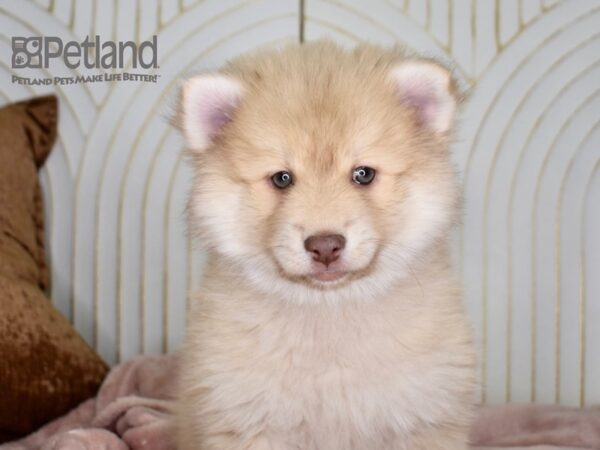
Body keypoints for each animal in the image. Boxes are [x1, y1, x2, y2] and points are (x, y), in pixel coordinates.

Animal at [176, 42, 476, 450]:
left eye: (363, 174)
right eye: (282, 178)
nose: (325, 245)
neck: (328, 312)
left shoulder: (420, 417)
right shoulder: (251, 421)